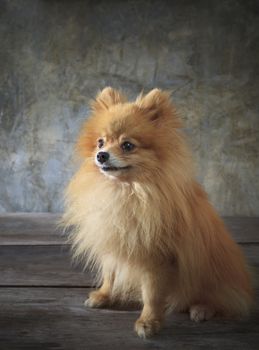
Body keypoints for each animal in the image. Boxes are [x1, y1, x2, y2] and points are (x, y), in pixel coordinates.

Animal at [64, 86, 255, 338]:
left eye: (127, 145)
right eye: (100, 142)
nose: (101, 155)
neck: (127, 191)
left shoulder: (157, 257)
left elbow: (152, 295)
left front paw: (148, 322)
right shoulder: (115, 239)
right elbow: (110, 273)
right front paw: (104, 295)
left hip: (210, 272)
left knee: (222, 298)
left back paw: (202, 309)